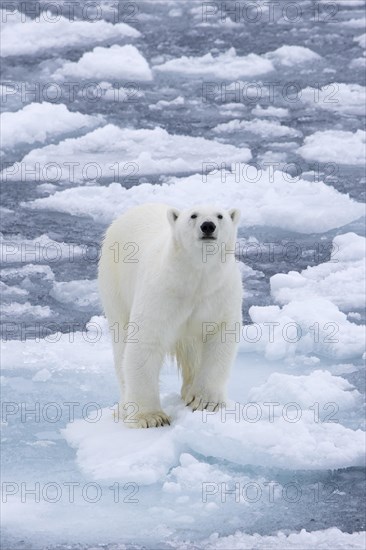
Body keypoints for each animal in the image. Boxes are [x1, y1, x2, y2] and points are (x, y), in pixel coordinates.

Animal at [98, 205, 243, 430]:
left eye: (220, 215)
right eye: (193, 215)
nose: (208, 226)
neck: (196, 279)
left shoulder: (219, 294)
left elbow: (219, 338)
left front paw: (205, 401)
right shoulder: (162, 292)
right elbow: (145, 342)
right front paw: (151, 417)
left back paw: (189, 391)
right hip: (115, 282)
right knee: (121, 342)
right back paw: (124, 407)